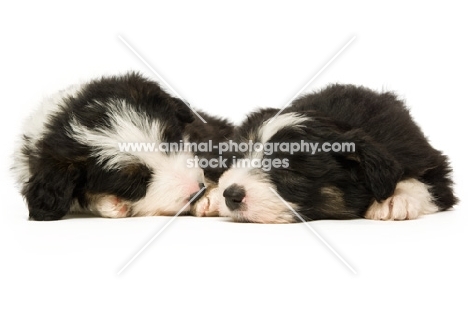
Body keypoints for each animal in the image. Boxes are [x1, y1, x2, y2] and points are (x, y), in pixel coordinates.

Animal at [201, 82, 458, 223]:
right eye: (237, 159)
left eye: (290, 170)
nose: (230, 195)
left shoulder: (426, 160)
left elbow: (425, 183)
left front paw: (394, 198)